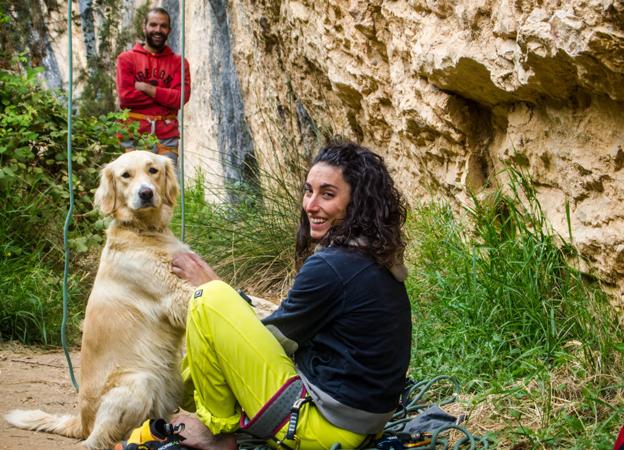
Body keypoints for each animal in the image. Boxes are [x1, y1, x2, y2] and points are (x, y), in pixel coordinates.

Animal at [4, 152, 194, 450]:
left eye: (152, 170)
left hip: (171, 382)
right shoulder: (175, 295)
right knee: (98, 439)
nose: (146, 193)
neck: (144, 231)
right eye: (125, 175)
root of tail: (82, 422)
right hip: (139, 381)